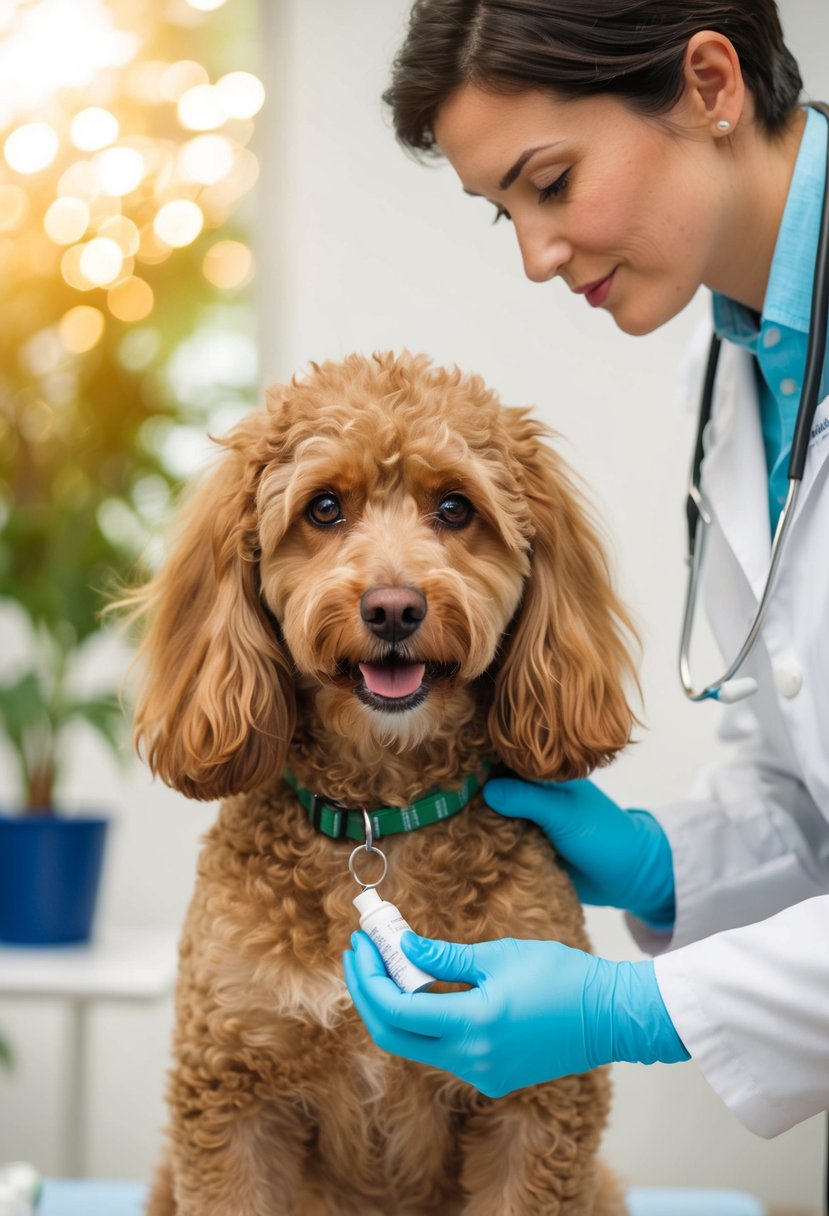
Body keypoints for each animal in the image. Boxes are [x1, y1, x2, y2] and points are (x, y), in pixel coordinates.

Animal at [130, 352, 632, 1216]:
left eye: (455, 508)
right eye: (325, 508)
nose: (393, 608)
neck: (380, 816)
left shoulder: (537, 1098)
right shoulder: (231, 1090)